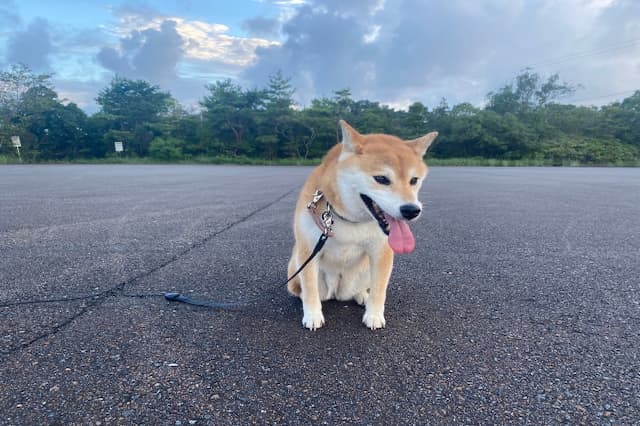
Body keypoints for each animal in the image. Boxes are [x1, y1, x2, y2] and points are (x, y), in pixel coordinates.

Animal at [288, 120, 438, 330]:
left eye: (414, 180)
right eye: (381, 179)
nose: (411, 210)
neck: (350, 219)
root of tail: (337, 292)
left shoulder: (381, 251)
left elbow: (379, 288)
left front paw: (374, 314)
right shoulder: (309, 249)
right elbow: (310, 289)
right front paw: (312, 315)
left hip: (364, 270)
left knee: (359, 290)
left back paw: (362, 296)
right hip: (296, 266)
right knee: (303, 290)